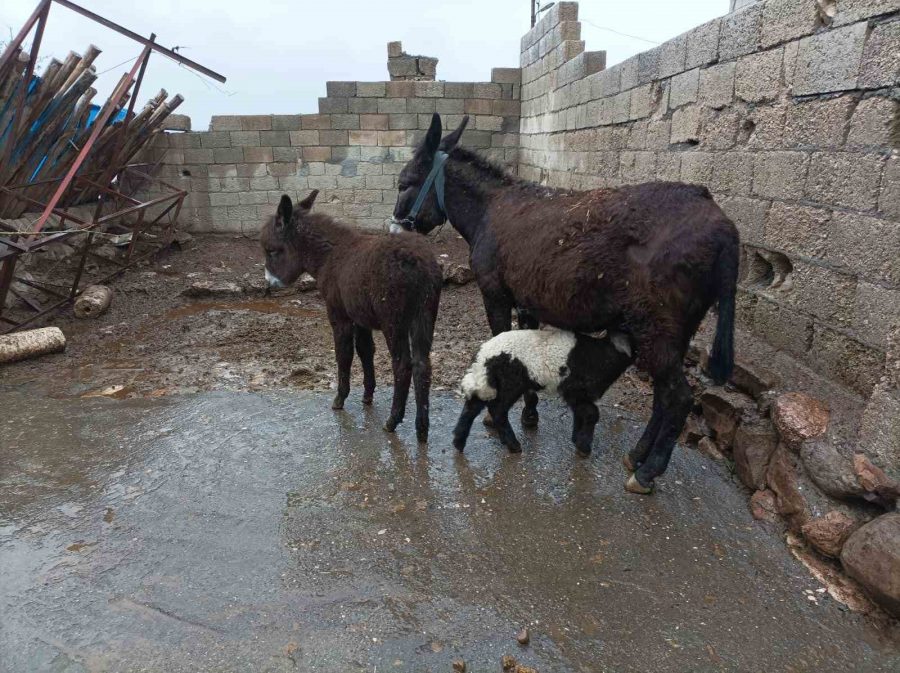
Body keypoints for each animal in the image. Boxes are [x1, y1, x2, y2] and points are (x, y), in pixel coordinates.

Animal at [260, 190, 442, 440]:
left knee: (403, 365)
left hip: (393, 321)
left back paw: (393, 421)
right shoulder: (360, 318)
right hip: (424, 314)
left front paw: (340, 398)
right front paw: (368, 395)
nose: (269, 284)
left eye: (272, 250)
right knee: (423, 364)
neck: (330, 256)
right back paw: (422, 429)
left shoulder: (339, 315)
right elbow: (365, 351)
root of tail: (420, 262)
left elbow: (343, 354)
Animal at [450, 326, 632, 456]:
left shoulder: (578, 394)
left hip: (493, 382)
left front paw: (576, 439)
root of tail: (482, 358)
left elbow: (580, 413)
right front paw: (584, 446)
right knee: (497, 410)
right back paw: (513, 445)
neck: (605, 355)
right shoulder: (574, 389)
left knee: (473, 405)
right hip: (511, 382)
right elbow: (592, 413)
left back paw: (459, 442)